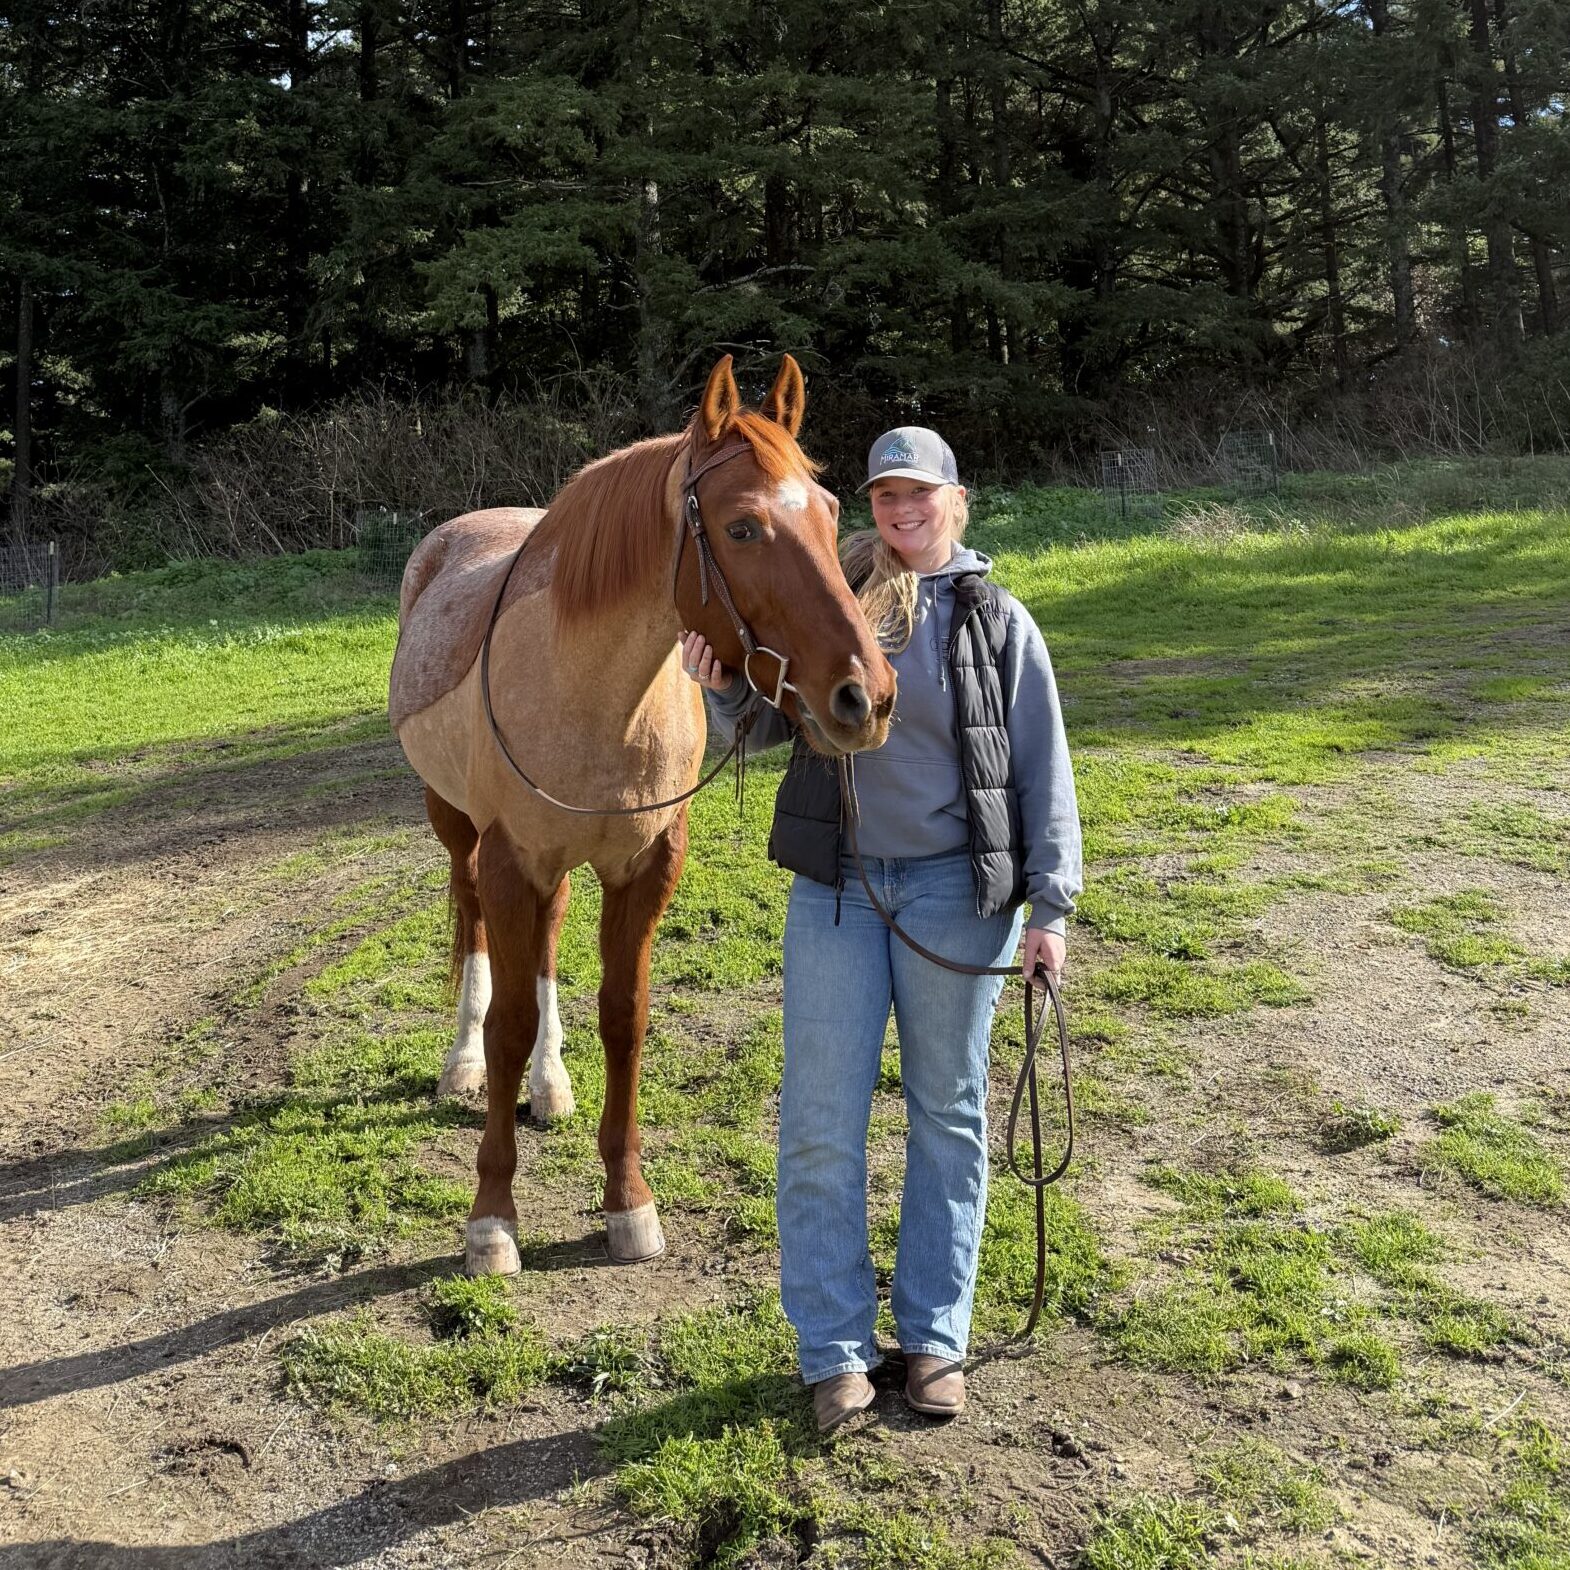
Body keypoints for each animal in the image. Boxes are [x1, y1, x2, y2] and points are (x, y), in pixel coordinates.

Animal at [389, 354, 897, 1276]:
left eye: (832, 509)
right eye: (742, 529)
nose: (864, 697)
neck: (594, 692)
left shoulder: (645, 866)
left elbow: (624, 1018)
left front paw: (628, 1202)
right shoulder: (511, 860)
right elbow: (509, 1023)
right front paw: (492, 1220)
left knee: (548, 945)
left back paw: (550, 1085)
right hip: (457, 826)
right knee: (473, 924)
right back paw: (460, 1064)